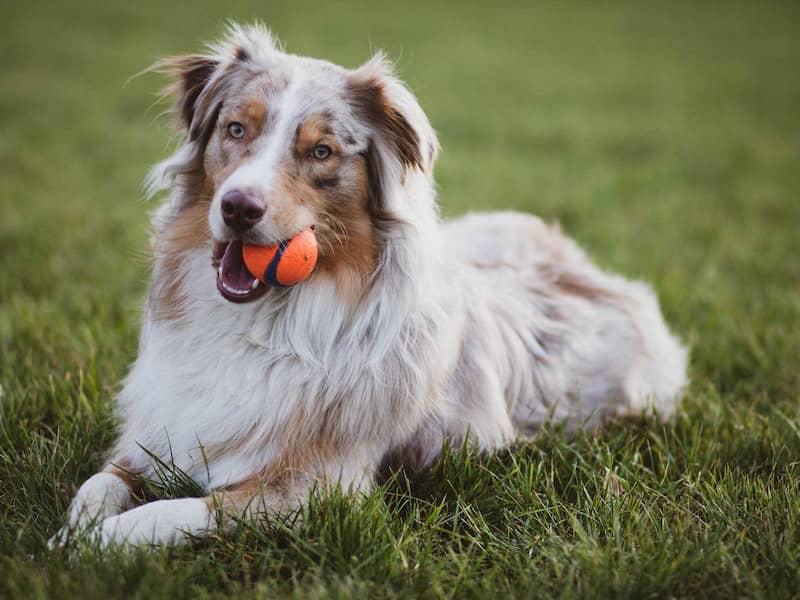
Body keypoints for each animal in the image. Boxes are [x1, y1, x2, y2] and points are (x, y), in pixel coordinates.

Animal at [51, 24, 688, 548]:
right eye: (235, 128)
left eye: (321, 151)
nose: (237, 208)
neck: (265, 322)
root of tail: (591, 269)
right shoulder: (155, 436)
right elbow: (98, 483)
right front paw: (70, 532)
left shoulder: (316, 489)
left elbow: (181, 509)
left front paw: (101, 541)